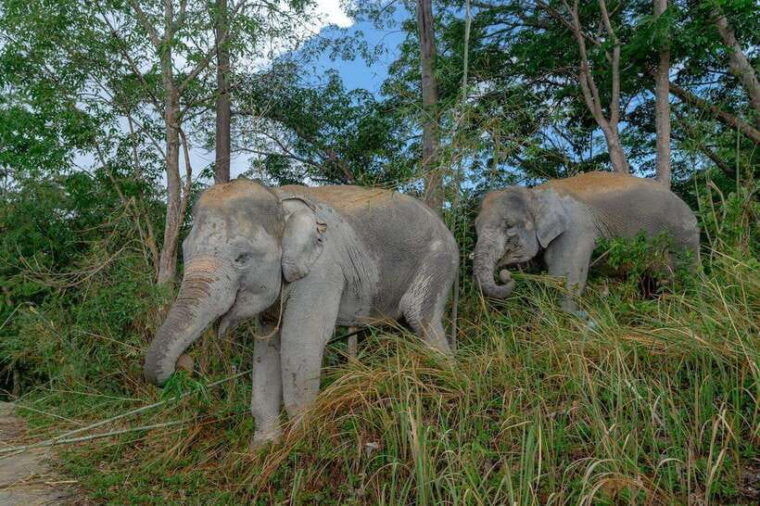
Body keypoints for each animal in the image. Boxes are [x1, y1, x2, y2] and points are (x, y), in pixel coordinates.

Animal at [143, 179, 458, 447]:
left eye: (241, 258)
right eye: (185, 251)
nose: (185, 363)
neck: (279, 201)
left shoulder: (322, 270)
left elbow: (300, 341)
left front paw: (301, 443)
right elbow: (266, 348)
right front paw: (263, 448)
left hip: (439, 260)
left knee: (420, 316)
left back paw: (446, 379)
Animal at [473, 172, 699, 312]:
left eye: (509, 225)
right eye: (475, 227)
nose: (505, 275)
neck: (535, 192)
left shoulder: (576, 229)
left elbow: (562, 277)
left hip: (682, 236)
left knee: (681, 277)